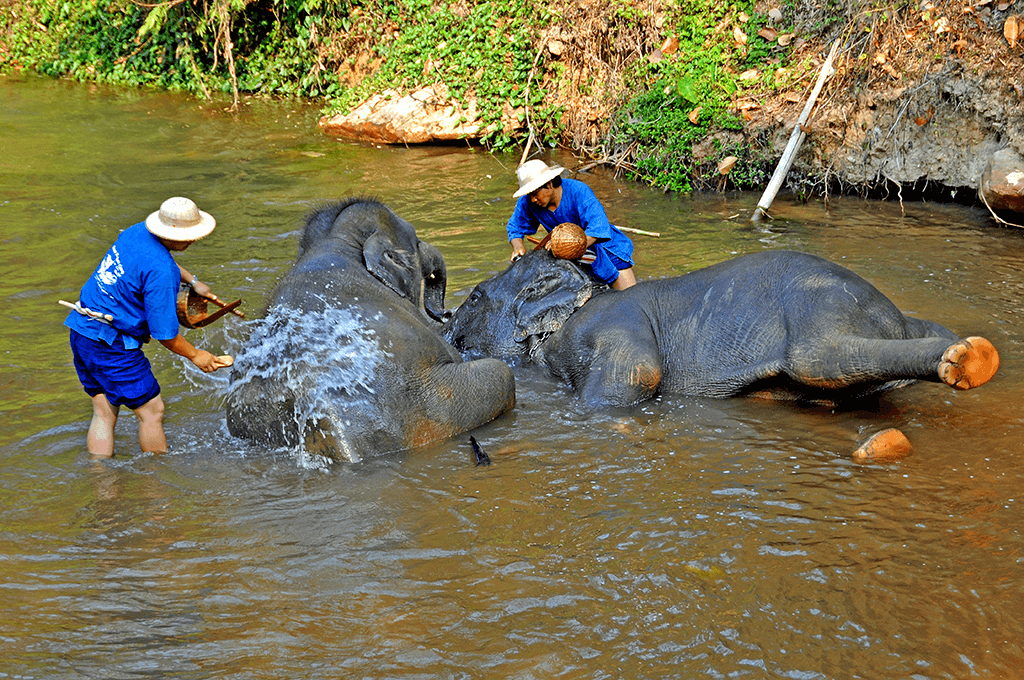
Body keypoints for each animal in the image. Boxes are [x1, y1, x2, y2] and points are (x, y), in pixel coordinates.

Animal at [443, 249, 1000, 408]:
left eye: (474, 298)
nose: (446, 330)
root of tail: (893, 318)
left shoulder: (608, 320)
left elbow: (636, 375)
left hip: (817, 306)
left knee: (822, 358)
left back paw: (967, 360)